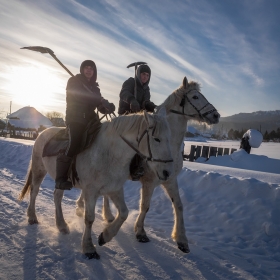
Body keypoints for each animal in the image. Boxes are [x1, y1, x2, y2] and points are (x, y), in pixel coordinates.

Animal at [18, 108, 173, 260]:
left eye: (169, 139)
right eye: (156, 138)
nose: (167, 172)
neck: (109, 153)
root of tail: (42, 133)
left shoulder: (115, 189)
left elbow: (124, 213)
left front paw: (105, 236)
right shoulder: (90, 192)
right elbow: (89, 219)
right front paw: (89, 248)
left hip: (59, 179)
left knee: (57, 197)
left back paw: (61, 225)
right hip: (39, 170)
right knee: (34, 191)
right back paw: (32, 217)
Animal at [92, 76, 221, 254]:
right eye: (195, 97)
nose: (216, 115)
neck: (169, 145)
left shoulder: (170, 180)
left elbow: (179, 205)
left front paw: (181, 239)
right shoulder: (149, 182)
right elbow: (145, 206)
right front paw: (140, 232)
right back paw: (109, 216)